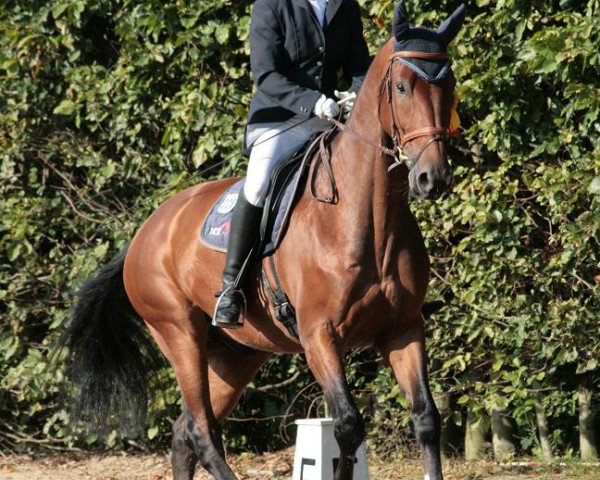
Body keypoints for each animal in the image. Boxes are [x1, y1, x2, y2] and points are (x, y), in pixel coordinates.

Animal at [59, 1, 464, 478]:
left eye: (449, 86)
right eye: (401, 87)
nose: (432, 178)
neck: (366, 222)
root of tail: (146, 230)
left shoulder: (403, 329)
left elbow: (425, 418)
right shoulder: (319, 335)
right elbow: (347, 425)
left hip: (236, 355)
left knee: (184, 431)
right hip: (179, 334)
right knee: (200, 429)